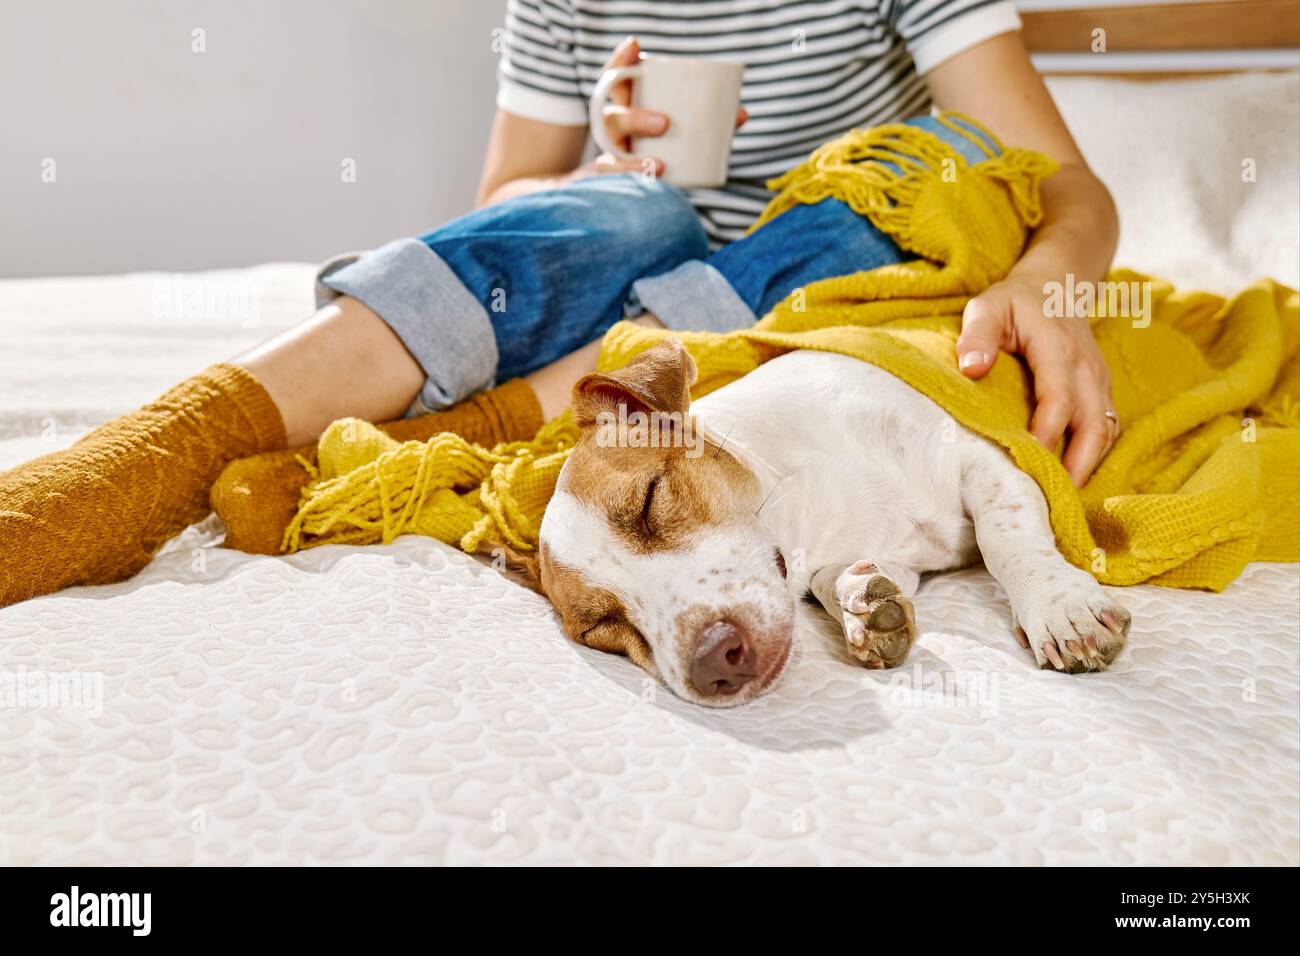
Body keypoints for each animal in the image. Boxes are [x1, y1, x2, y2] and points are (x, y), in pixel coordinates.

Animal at [535, 340, 1128, 707]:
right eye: (603, 630)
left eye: (650, 501)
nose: (711, 664)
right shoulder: (890, 555)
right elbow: (841, 580)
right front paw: (863, 604)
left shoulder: (981, 459)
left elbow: (1005, 540)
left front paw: (1060, 607)